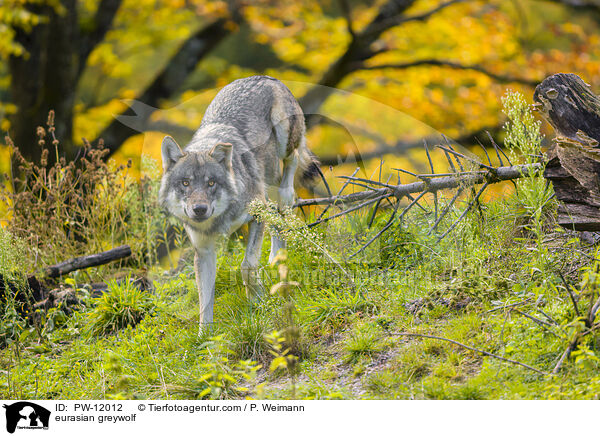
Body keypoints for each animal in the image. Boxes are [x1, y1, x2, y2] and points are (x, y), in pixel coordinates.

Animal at [158, 76, 318, 330]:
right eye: (185, 183)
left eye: (211, 183)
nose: (199, 209)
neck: (219, 220)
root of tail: (264, 77)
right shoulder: (204, 250)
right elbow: (204, 298)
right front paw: (205, 335)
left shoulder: (256, 217)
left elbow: (247, 266)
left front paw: (258, 301)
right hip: (267, 180)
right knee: (276, 211)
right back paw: (276, 257)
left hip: (281, 151)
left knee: (290, 171)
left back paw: (285, 200)